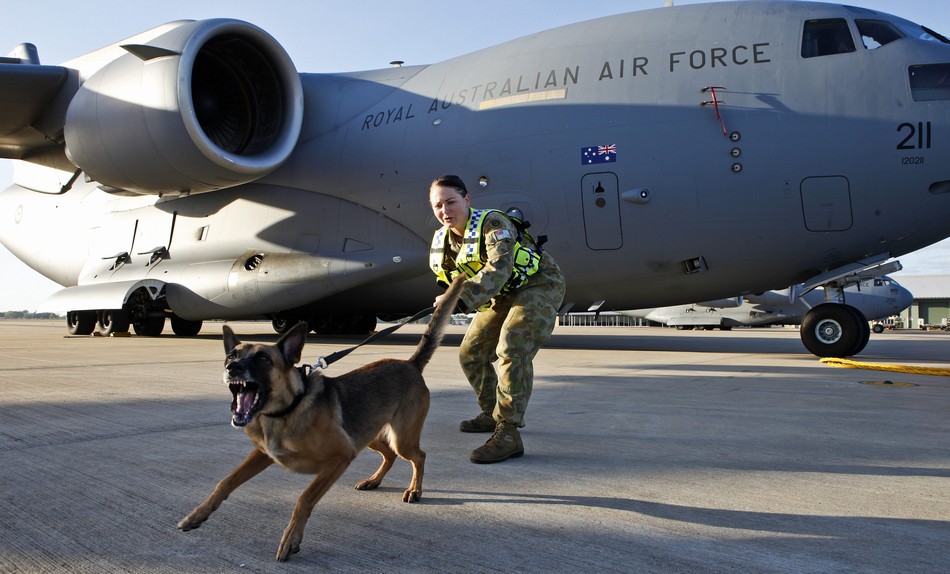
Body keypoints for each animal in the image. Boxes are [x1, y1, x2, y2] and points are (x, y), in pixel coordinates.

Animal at [178, 278, 464, 564]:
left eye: (263, 358)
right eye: (232, 356)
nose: (232, 368)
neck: (287, 411)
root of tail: (410, 363)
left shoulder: (340, 457)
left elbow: (304, 499)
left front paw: (291, 539)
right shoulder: (262, 455)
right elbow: (226, 482)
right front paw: (197, 515)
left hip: (399, 438)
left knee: (419, 456)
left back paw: (415, 490)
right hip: (368, 435)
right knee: (390, 455)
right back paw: (374, 480)